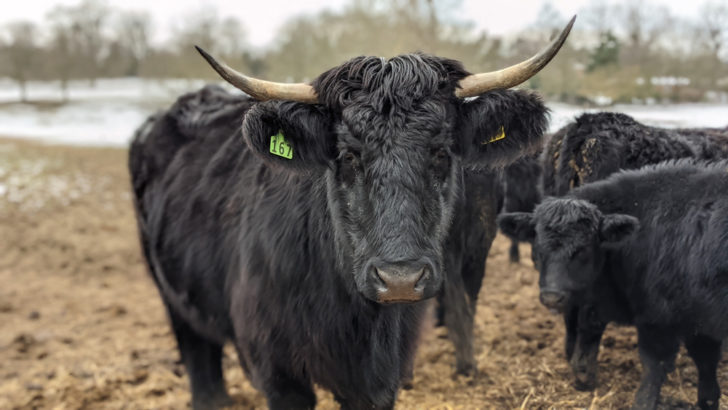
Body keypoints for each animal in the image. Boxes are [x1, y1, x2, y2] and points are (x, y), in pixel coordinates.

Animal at [129, 19, 576, 410]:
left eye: (442, 153)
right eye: (348, 155)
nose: (400, 280)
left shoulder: (381, 379)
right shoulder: (279, 373)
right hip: (172, 295)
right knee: (198, 356)